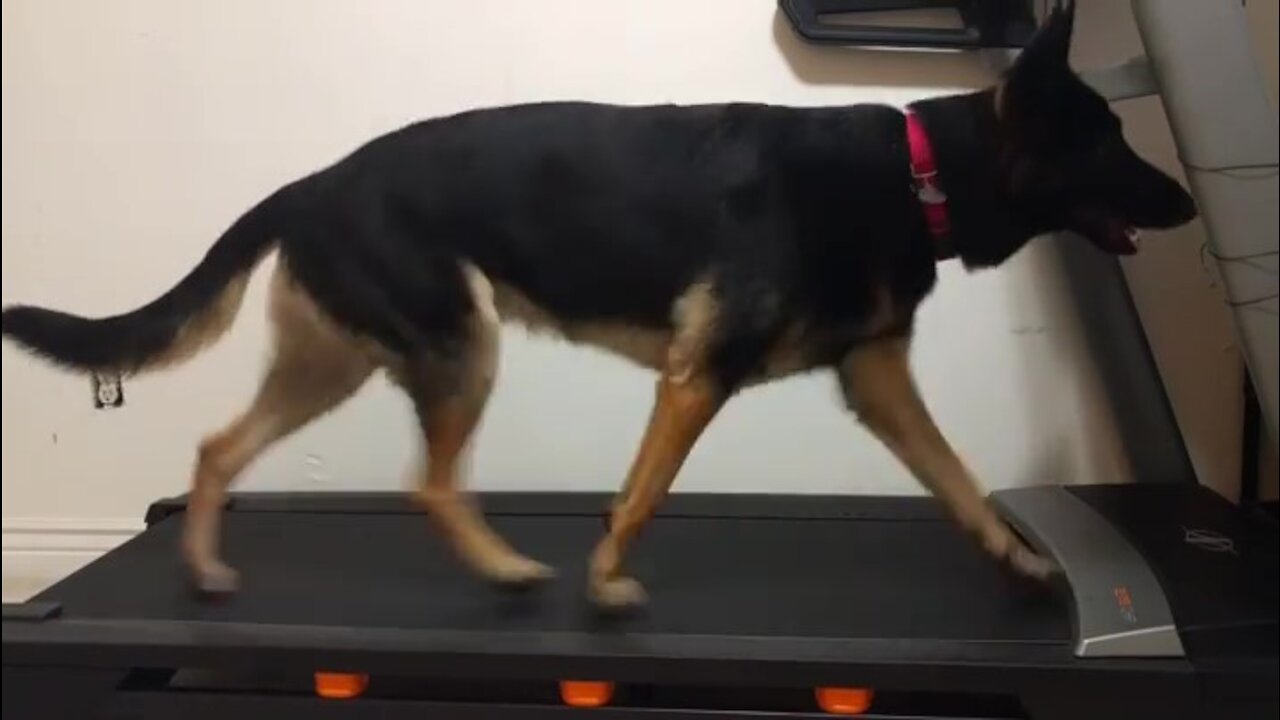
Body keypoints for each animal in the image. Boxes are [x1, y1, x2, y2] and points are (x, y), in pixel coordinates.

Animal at [5, 2, 1192, 607]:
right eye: (1109, 142)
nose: (1184, 199)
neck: (915, 172)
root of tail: (313, 182)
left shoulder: (876, 379)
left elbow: (960, 480)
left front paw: (1019, 557)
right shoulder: (696, 377)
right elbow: (641, 496)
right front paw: (608, 579)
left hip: (339, 361)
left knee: (218, 449)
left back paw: (206, 565)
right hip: (455, 347)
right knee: (428, 484)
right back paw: (499, 565)